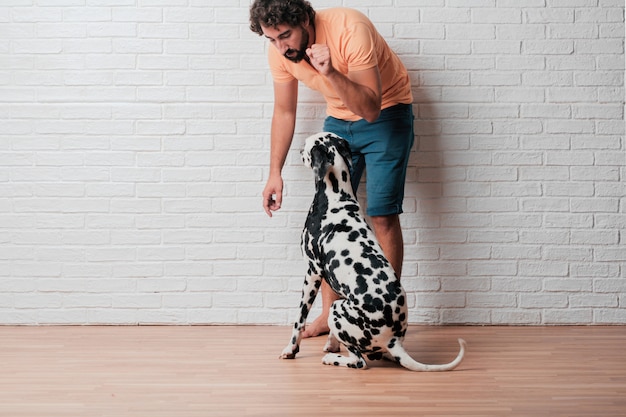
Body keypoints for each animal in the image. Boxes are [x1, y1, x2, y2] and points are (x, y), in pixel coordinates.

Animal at [280, 132, 464, 368]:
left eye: (307, 145)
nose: (299, 150)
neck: (336, 198)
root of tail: (394, 340)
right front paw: (331, 343)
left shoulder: (312, 272)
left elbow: (299, 319)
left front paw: (291, 349)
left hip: (338, 309)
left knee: (359, 361)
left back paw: (333, 359)